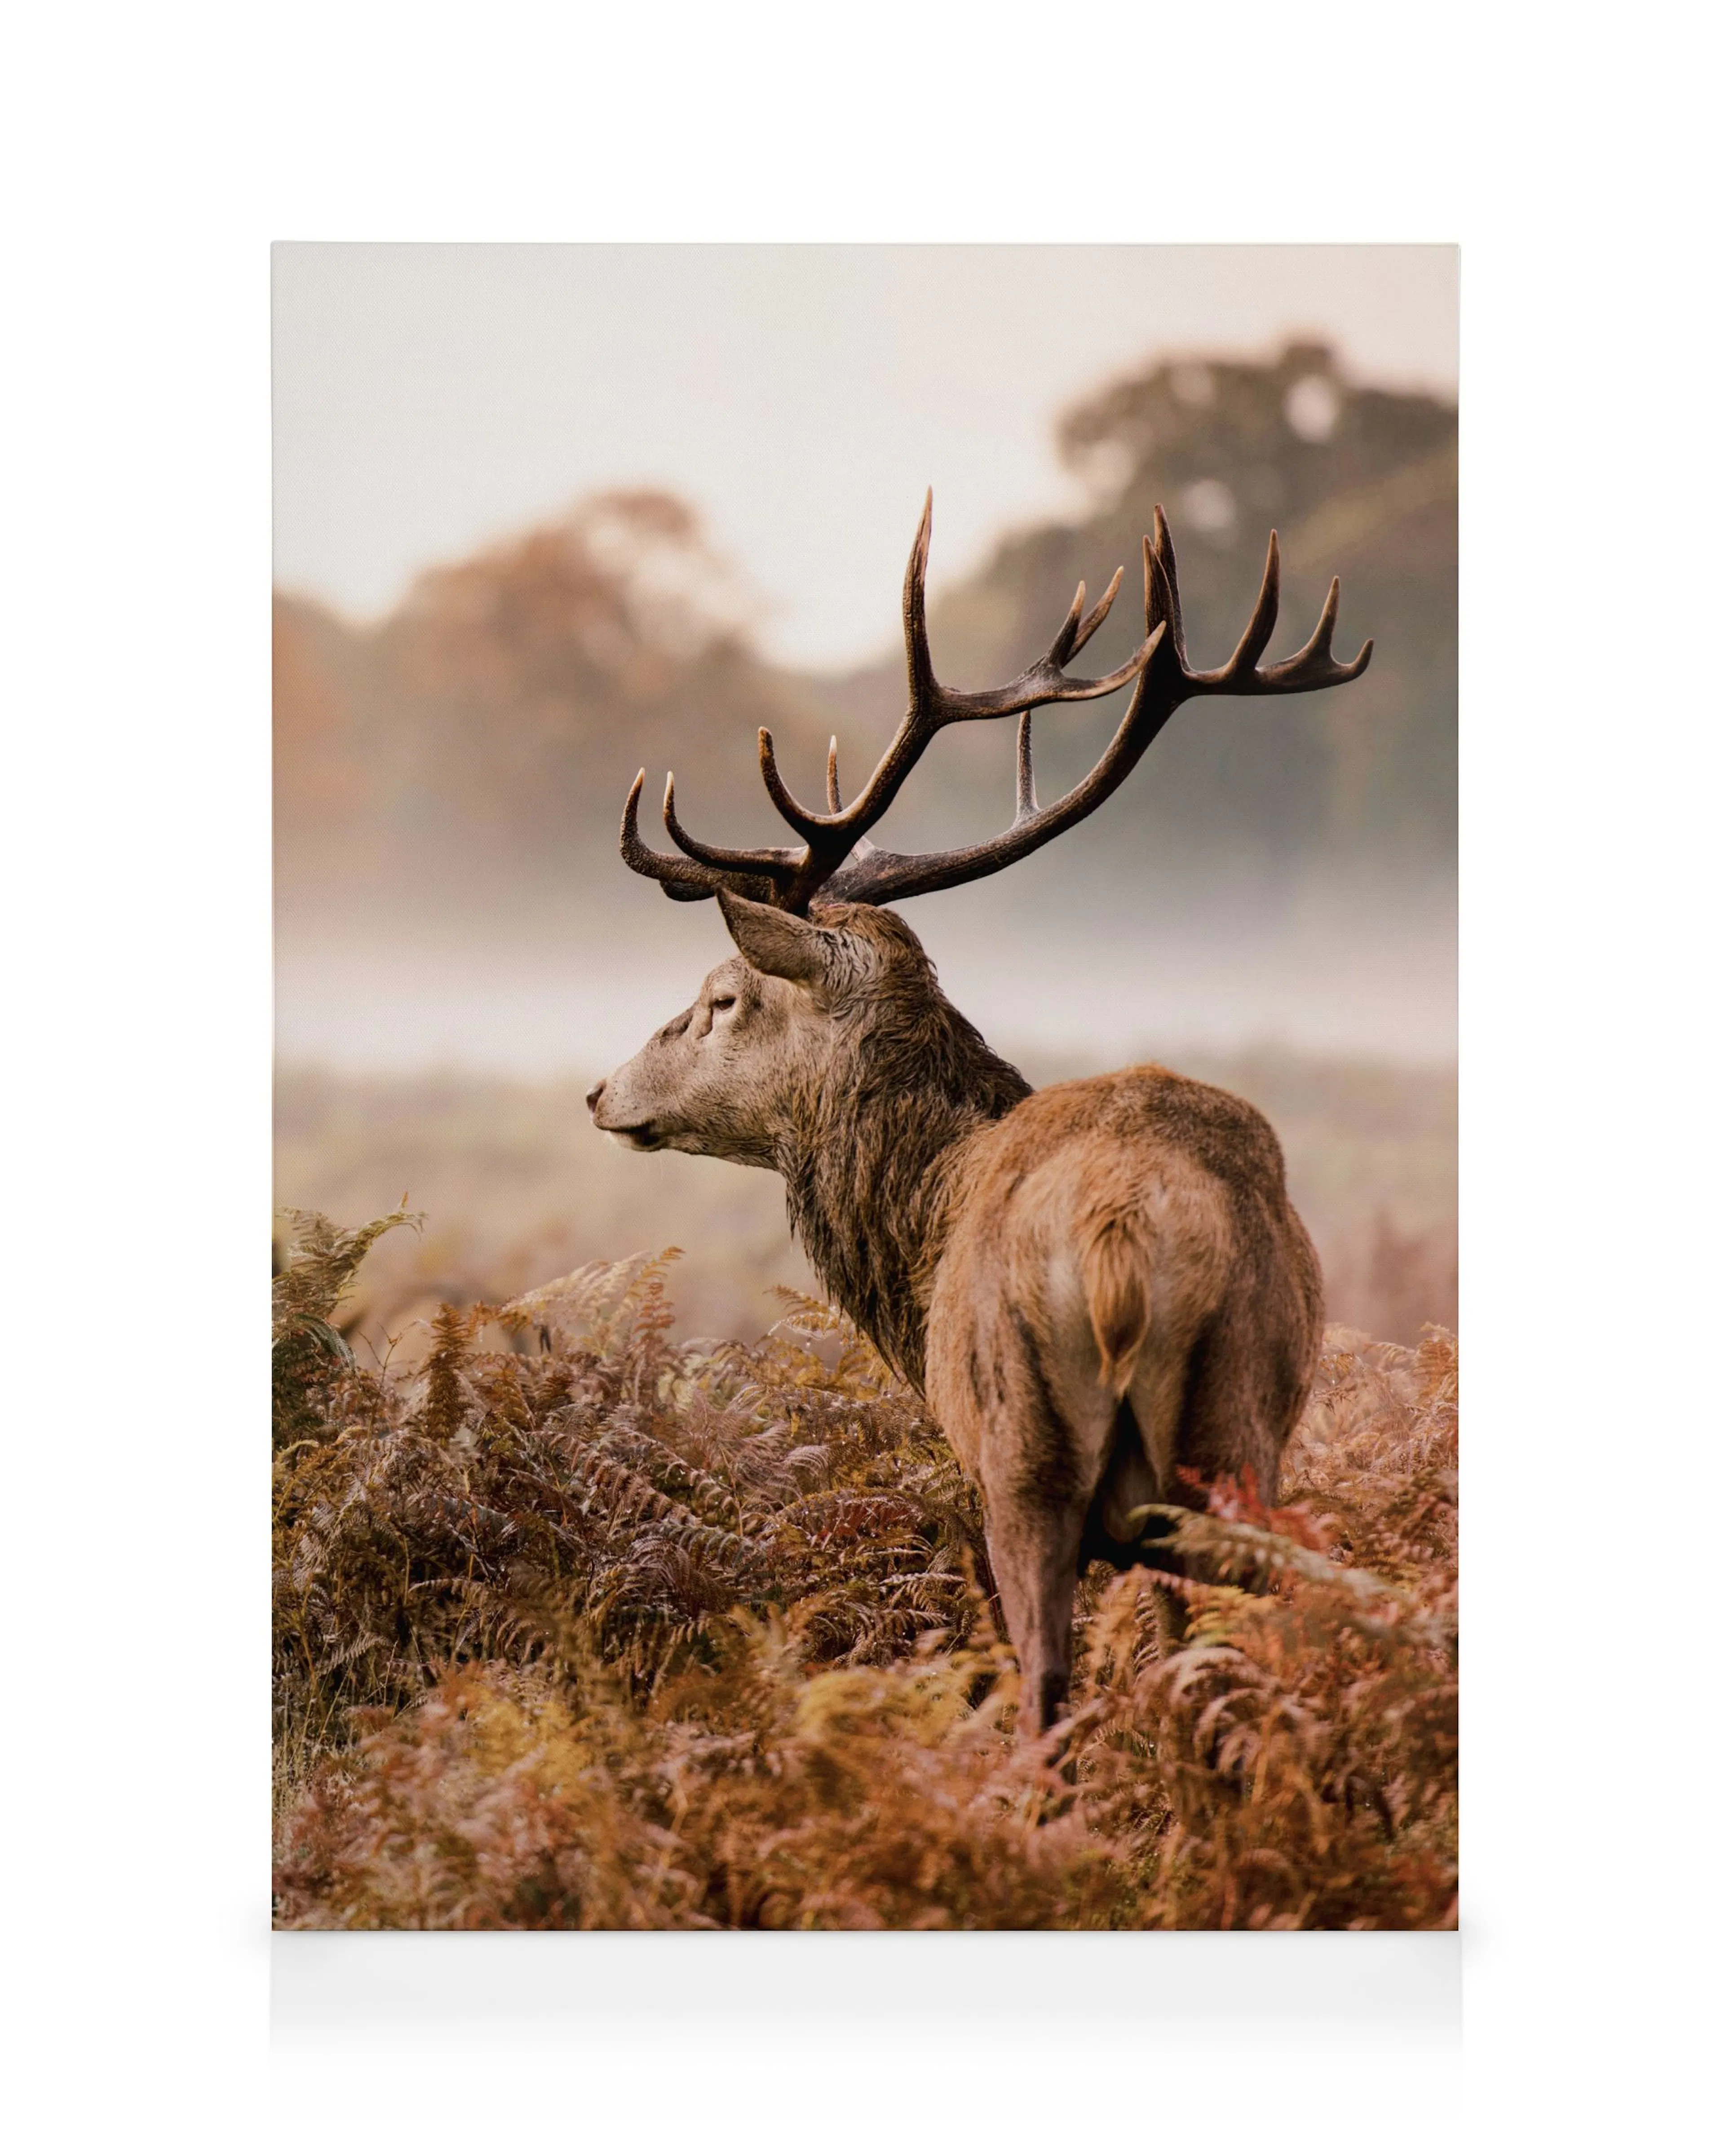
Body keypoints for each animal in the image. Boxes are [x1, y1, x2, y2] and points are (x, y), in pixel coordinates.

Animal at [586, 495, 1371, 1737]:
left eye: (721, 997)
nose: (601, 1090)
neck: (923, 1215)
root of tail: (1117, 1243)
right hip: (1236, 1445)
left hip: (1024, 1457)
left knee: (1043, 1686)